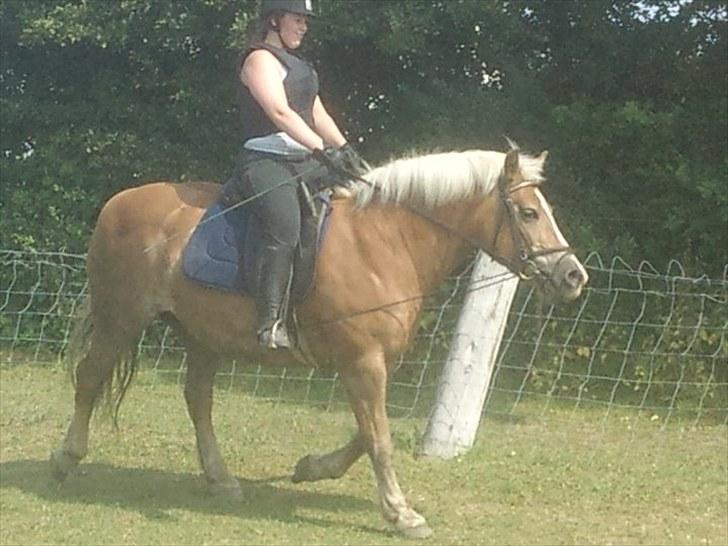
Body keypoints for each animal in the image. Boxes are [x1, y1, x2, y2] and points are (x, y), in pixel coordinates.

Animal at [49, 144, 584, 536]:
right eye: (528, 213)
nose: (573, 276)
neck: (387, 241)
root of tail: (118, 202)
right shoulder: (362, 361)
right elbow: (379, 438)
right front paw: (401, 512)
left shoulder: (373, 361)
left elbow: (367, 433)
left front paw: (311, 468)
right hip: (121, 318)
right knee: (89, 378)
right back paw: (65, 459)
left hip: (201, 336)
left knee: (197, 399)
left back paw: (221, 479)